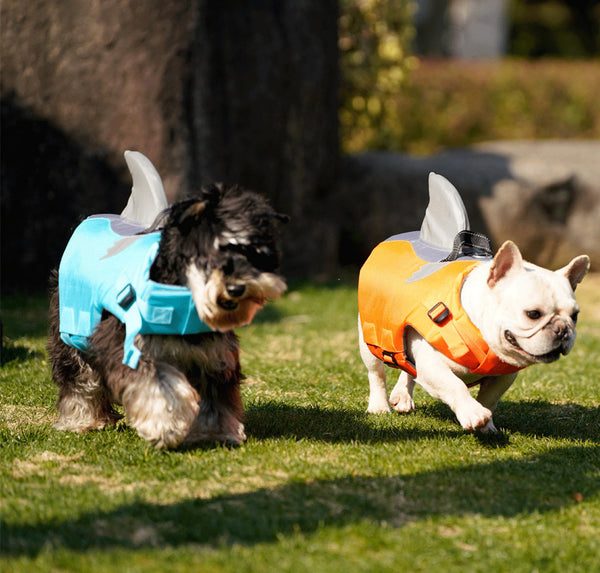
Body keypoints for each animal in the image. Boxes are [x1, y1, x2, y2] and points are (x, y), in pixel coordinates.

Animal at [49, 183, 288, 446]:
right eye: (209, 253)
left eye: (254, 252)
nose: (236, 288)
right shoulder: (130, 348)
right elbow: (159, 388)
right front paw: (166, 425)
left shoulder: (213, 356)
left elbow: (214, 398)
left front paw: (215, 433)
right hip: (72, 332)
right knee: (79, 377)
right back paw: (83, 420)